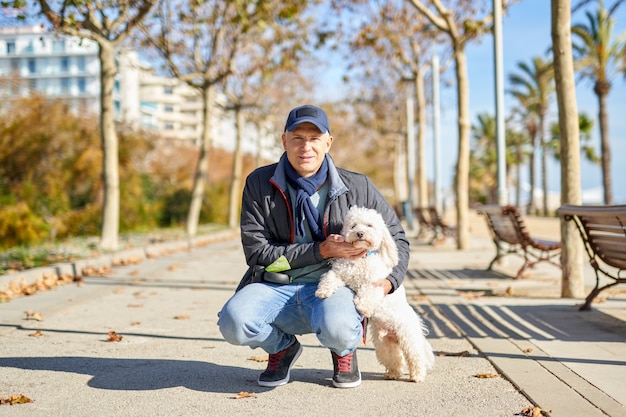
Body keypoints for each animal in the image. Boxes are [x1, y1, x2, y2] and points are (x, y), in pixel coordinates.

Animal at [314, 206, 432, 382]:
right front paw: (322, 290)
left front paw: (362, 306)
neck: (361, 257)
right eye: (354, 225)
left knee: (415, 357)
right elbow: (330, 277)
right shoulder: (341, 273)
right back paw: (393, 374)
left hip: (408, 337)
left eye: (369, 225)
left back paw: (417, 376)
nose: (360, 233)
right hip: (383, 344)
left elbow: (368, 292)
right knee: (395, 359)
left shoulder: (377, 284)